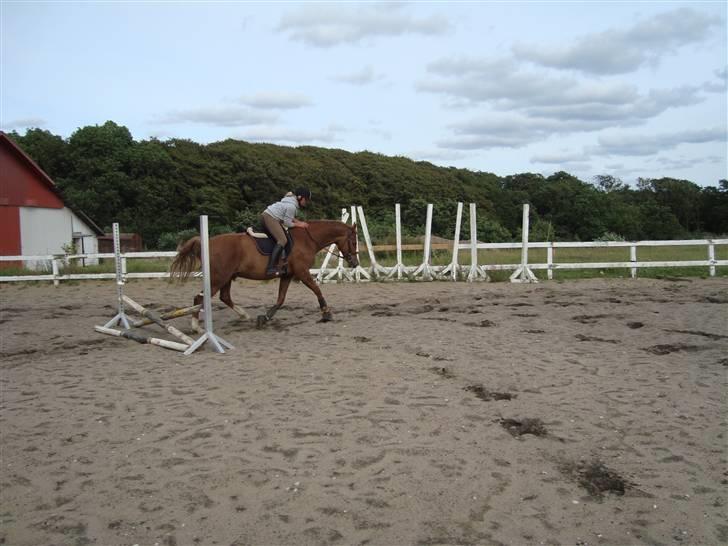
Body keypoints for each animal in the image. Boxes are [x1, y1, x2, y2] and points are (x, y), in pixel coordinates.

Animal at [171, 219, 358, 330]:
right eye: (354, 242)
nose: (355, 263)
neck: (308, 239)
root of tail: (206, 242)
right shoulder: (302, 272)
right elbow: (317, 289)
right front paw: (326, 313)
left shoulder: (287, 275)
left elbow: (281, 299)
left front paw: (265, 318)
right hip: (218, 278)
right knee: (199, 298)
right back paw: (196, 327)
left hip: (226, 277)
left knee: (224, 297)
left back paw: (244, 315)